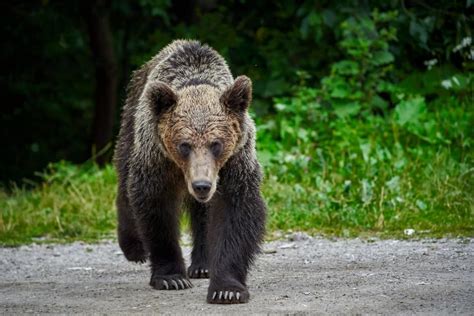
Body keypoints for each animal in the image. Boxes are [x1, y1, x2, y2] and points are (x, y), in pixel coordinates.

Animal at [112, 39, 264, 304]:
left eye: (216, 144)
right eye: (184, 145)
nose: (201, 185)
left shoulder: (235, 162)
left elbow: (235, 213)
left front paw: (227, 289)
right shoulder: (158, 159)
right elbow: (156, 210)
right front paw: (171, 277)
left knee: (202, 214)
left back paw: (203, 265)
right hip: (131, 125)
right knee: (125, 177)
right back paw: (134, 247)